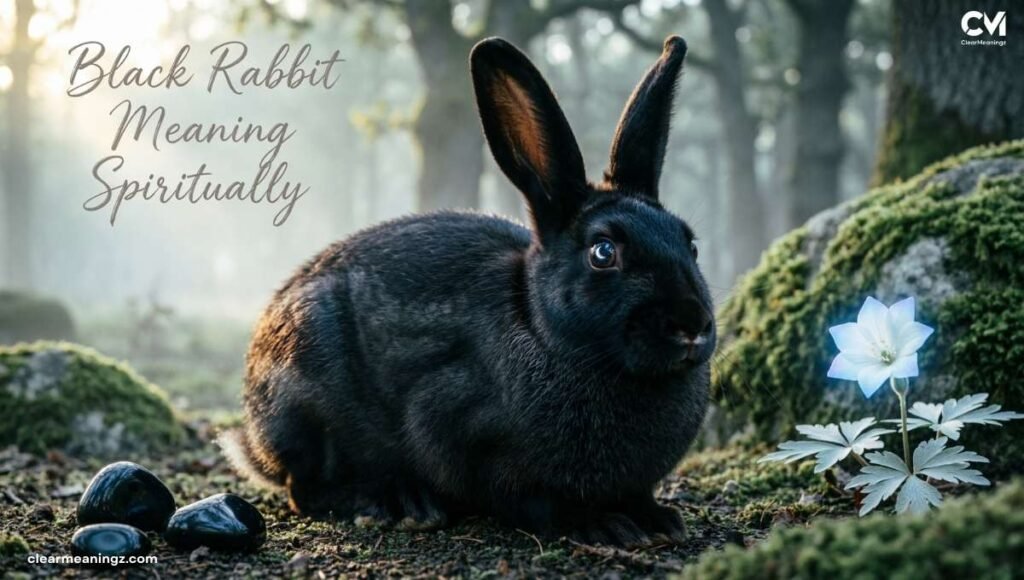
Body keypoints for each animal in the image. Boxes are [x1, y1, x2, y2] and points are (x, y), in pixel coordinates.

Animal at [220, 35, 714, 548]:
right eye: (603, 253)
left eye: (691, 245)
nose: (691, 325)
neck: (546, 333)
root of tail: (255, 432)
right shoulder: (458, 427)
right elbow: (531, 500)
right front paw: (602, 523)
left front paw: (658, 519)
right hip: (308, 402)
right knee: (306, 488)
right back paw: (399, 503)